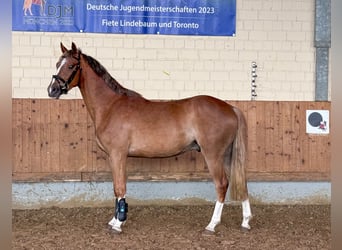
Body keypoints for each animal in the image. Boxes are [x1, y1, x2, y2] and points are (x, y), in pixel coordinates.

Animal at [46, 42, 252, 232]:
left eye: (71, 66)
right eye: (57, 63)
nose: (52, 90)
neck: (111, 106)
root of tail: (230, 108)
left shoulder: (118, 154)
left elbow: (120, 187)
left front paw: (118, 223)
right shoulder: (115, 157)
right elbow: (116, 188)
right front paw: (115, 219)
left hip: (213, 155)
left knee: (222, 184)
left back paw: (212, 224)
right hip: (227, 155)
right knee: (241, 182)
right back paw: (246, 221)